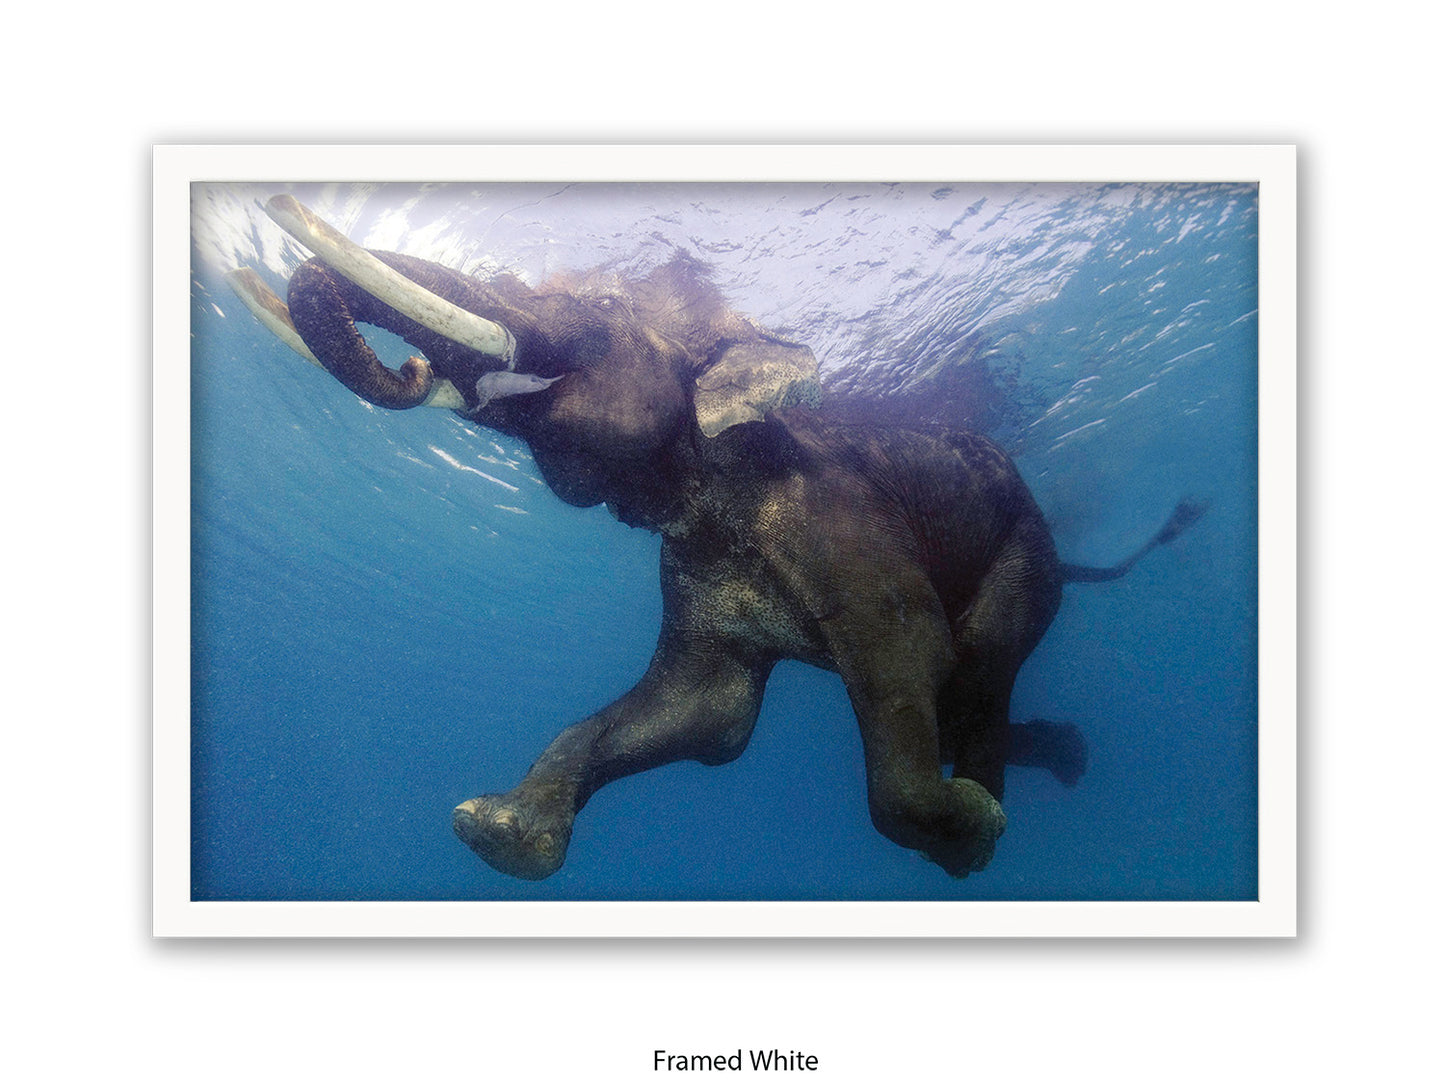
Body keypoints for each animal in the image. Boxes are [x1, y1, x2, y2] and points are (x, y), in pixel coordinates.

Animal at [235, 197, 1204, 882]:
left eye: (596, 306)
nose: (412, 366)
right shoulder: (689, 568)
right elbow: (707, 712)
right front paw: (492, 830)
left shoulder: (841, 519)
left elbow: (909, 655)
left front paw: (966, 829)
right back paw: (1053, 759)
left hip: (1023, 554)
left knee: (977, 663)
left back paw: (989, 811)